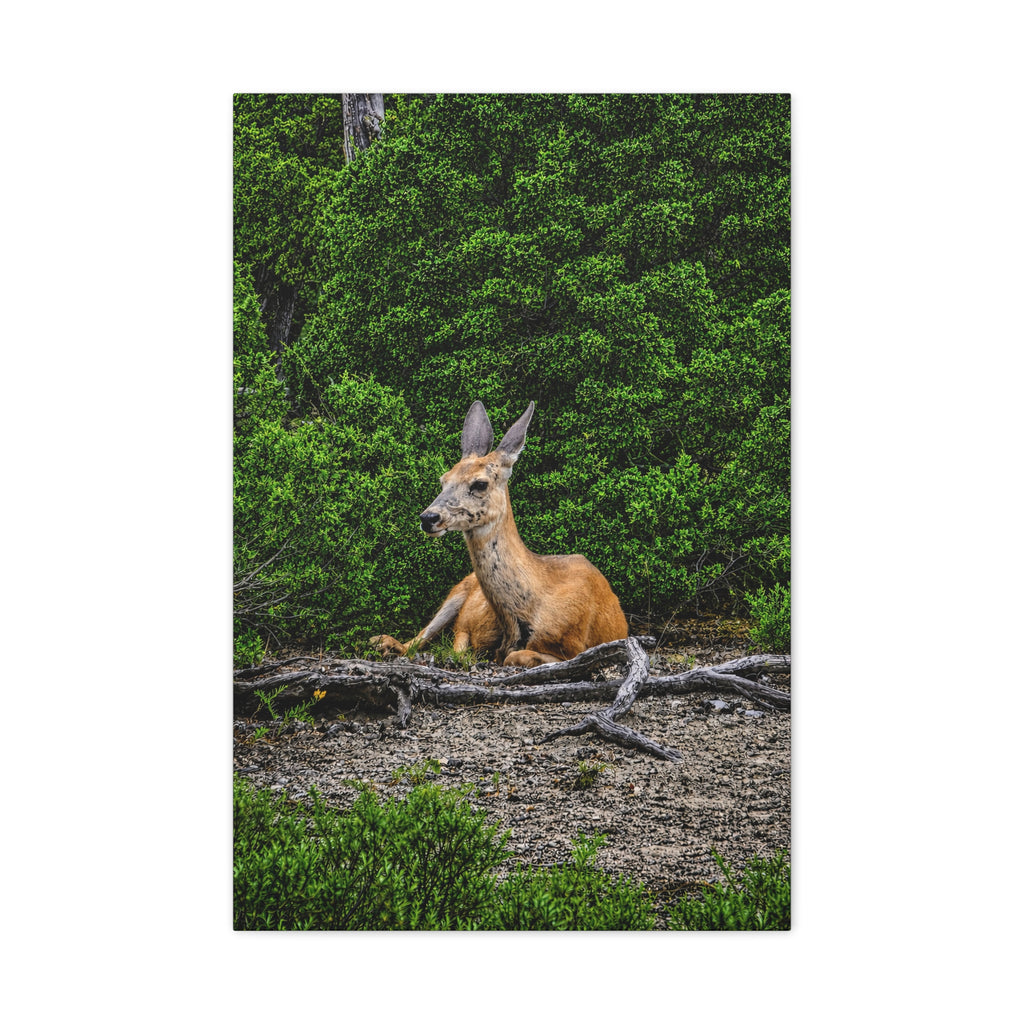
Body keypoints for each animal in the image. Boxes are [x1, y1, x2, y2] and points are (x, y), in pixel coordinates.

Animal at [370, 400, 629, 668]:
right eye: (444, 479)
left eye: (480, 484)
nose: (428, 518)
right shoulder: (467, 627)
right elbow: (464, 646)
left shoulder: (575, 645)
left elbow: (514, 656)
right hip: (459, 589)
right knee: (417, 638)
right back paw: (383, 642)